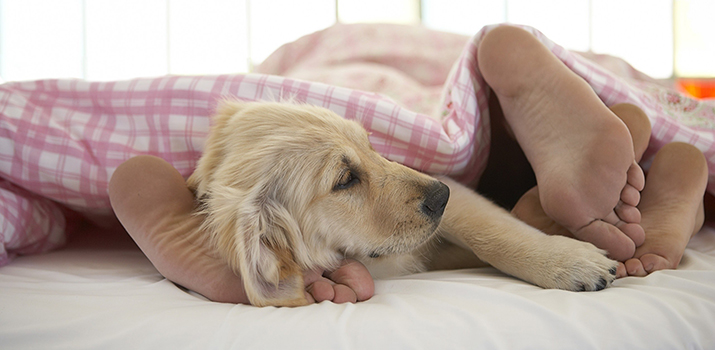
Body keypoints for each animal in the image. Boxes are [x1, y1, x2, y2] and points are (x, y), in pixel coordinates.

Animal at [187, 101, 620, 306]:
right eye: (344, 180)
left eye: (370, 145)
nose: (441, 195)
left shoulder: (456, 194)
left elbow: (491, 232)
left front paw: (567, 261)